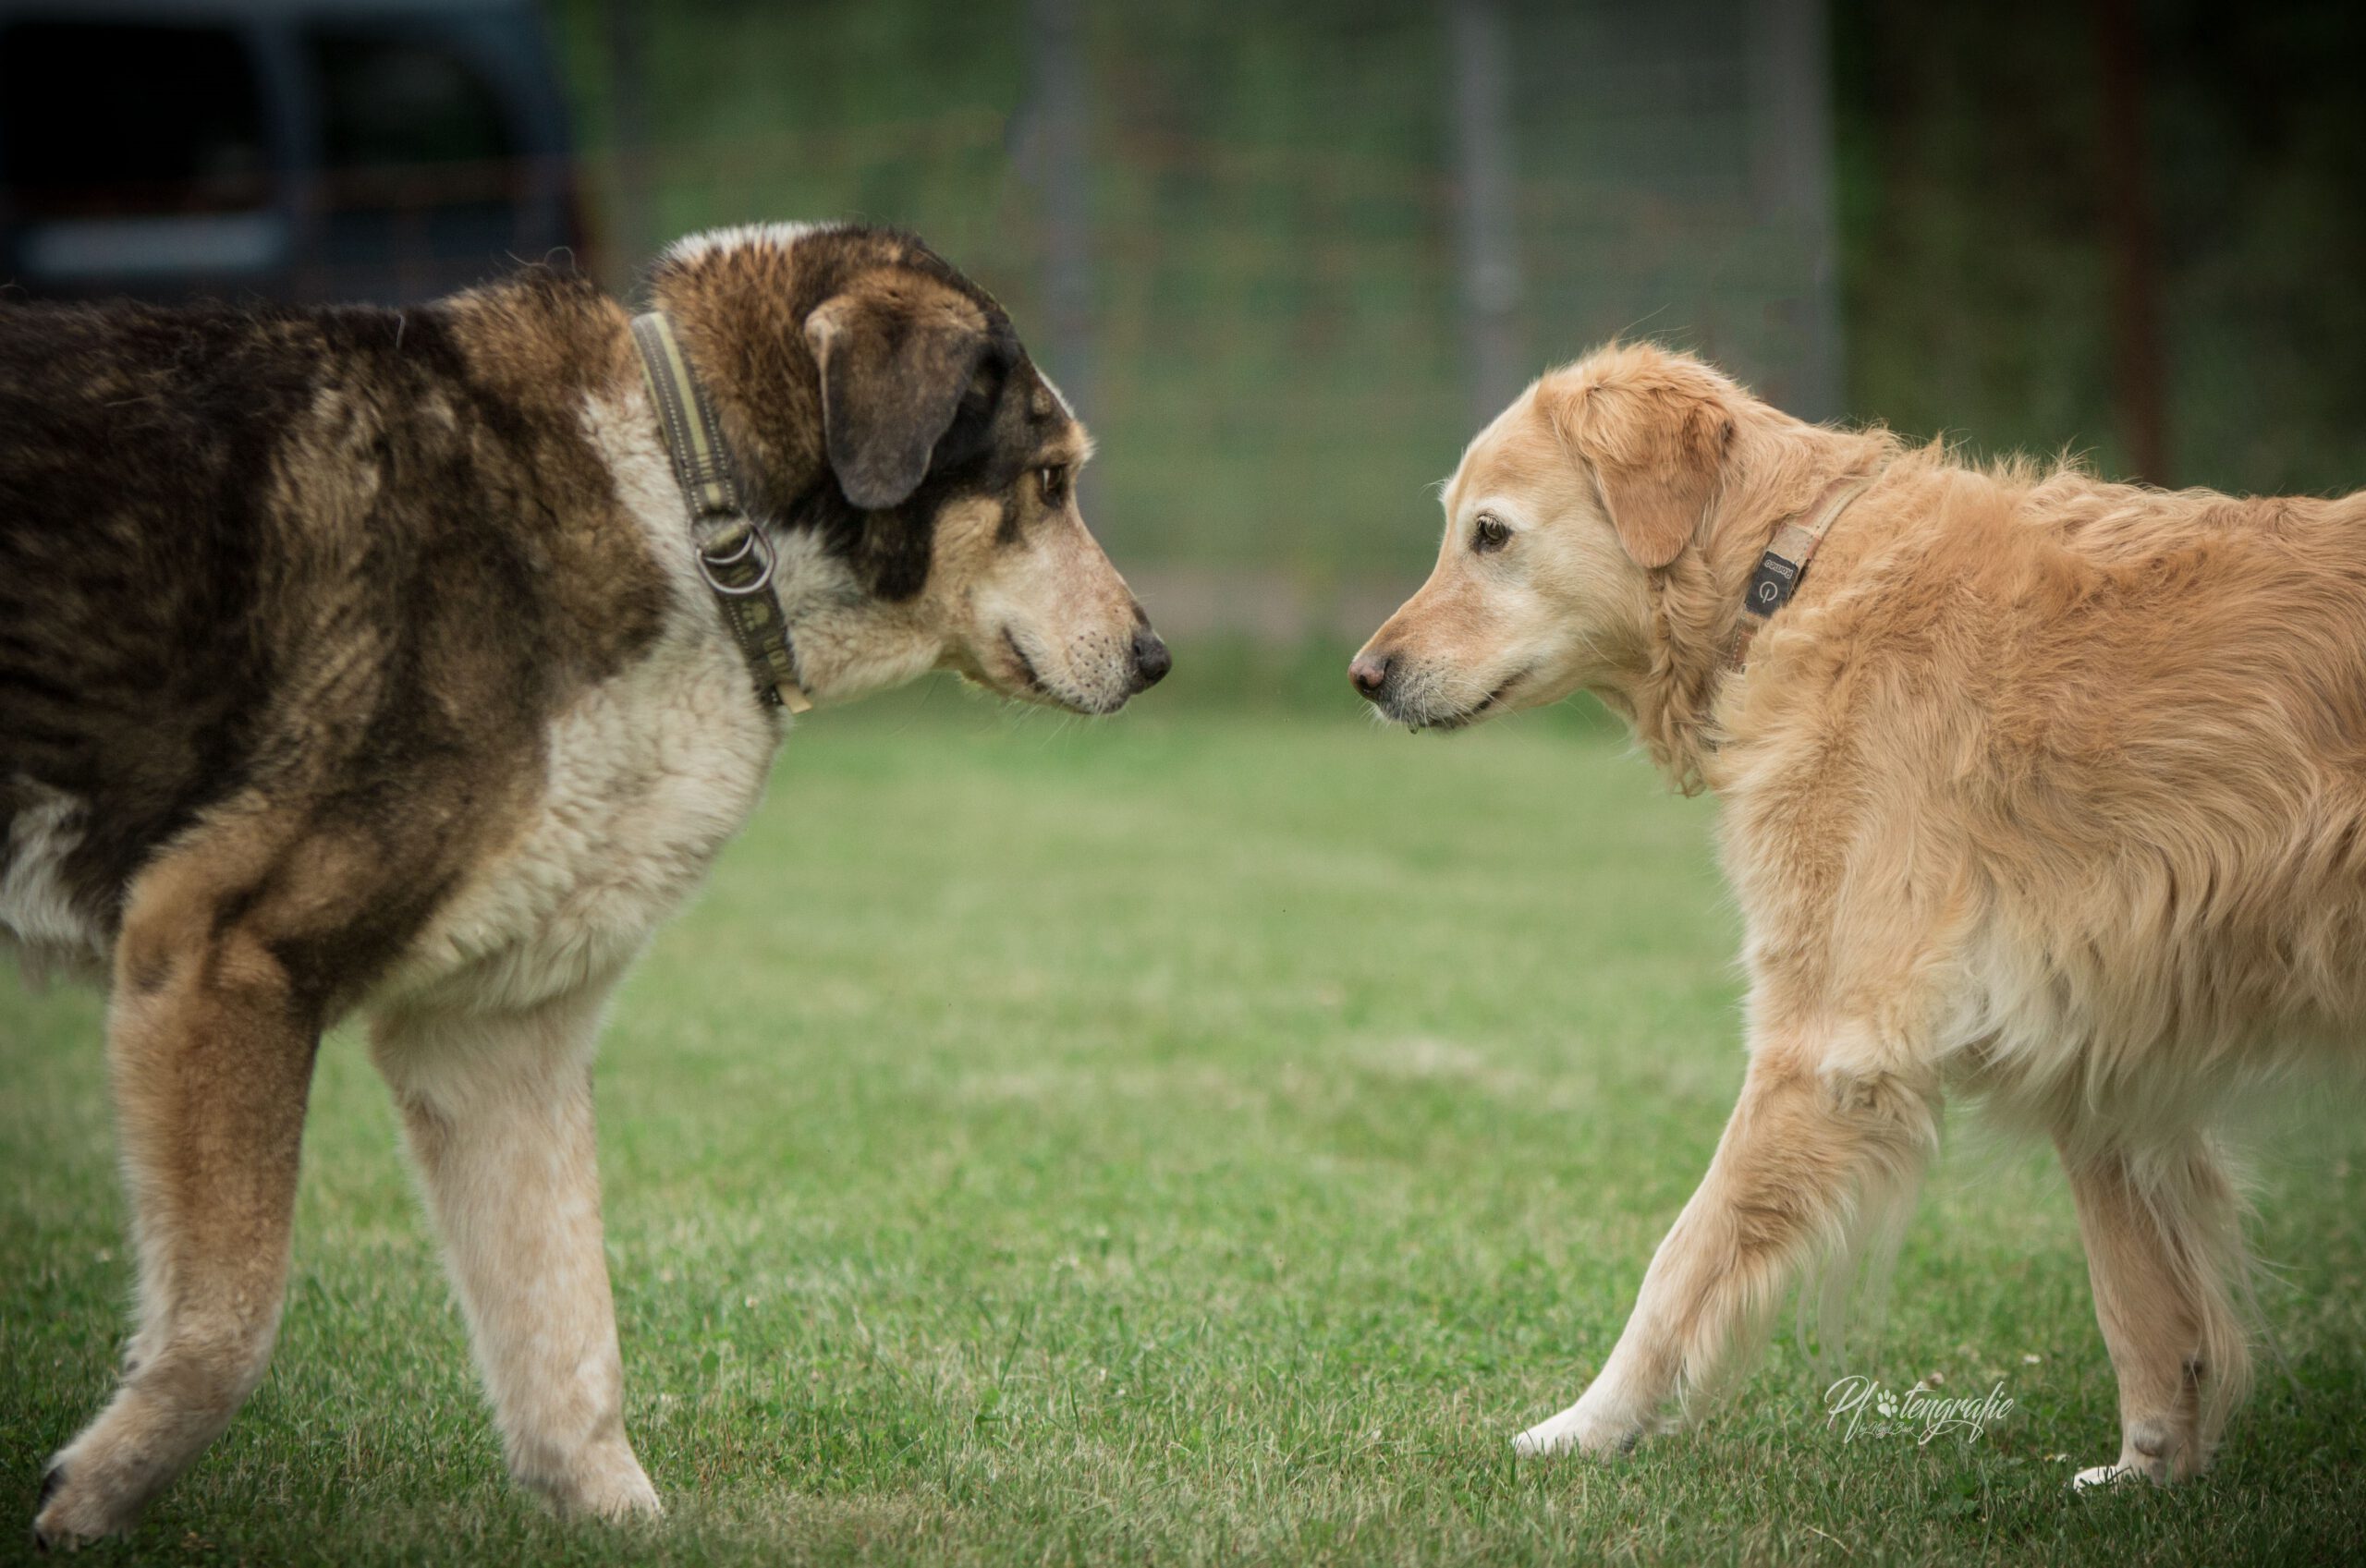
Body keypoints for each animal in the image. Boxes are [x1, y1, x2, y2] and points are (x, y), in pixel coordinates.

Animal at [5, 221, 1168, 1541]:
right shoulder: (221, 951)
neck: (689, 507)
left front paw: (617, 1513)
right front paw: (92, 1493)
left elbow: (566, 1323)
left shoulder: (494, 1035)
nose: (1157, 657)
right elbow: (227, 1323)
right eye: (1048, 482)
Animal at [1353, 340, 2366, 1485]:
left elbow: (1682, 1255)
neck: (1786, 575)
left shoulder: (1826, 1044)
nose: (1363, 676)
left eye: (1489, 533)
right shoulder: (2097, 1051)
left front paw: (1586, 1425)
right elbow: (2140, 1299)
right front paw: (2148, 1471)